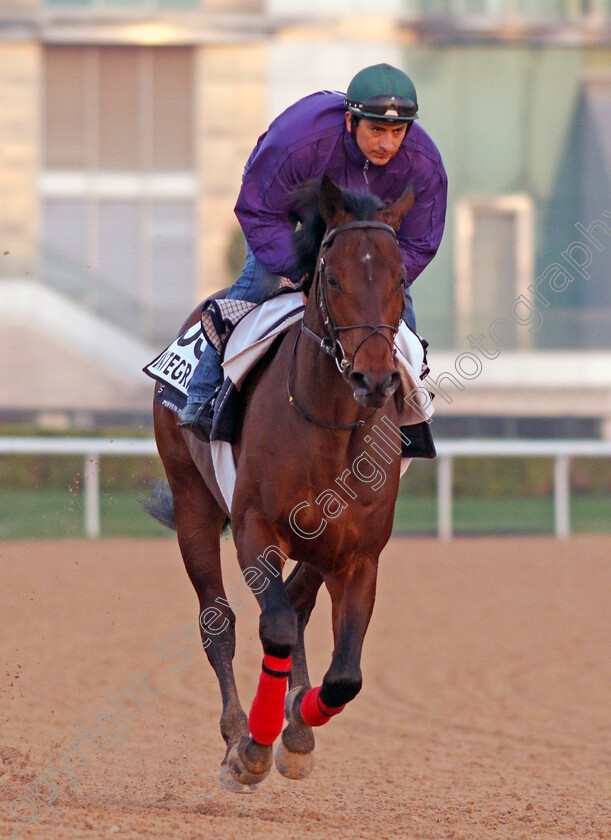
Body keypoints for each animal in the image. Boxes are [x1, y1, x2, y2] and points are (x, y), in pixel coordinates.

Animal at [152, 174, 416, 792]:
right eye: (334, 277)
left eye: (399, 278)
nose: (373, 379)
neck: (329, 426)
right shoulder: (256, 527)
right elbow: (271, 626)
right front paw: (253, 745)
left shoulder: (358, 553)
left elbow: (345, 675)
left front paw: (297, 721)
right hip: (192, 499)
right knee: (219, 621)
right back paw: (235, 732)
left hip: (320, 544)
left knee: (299, 606)